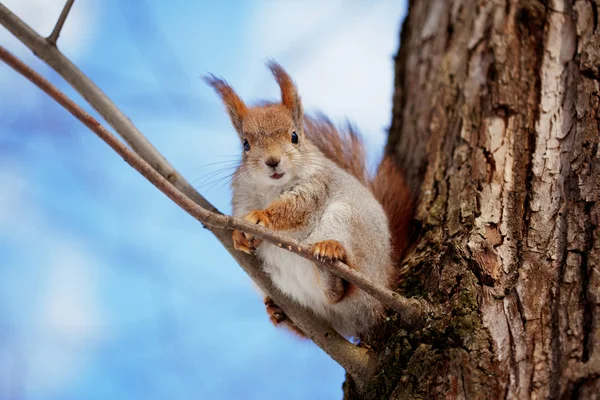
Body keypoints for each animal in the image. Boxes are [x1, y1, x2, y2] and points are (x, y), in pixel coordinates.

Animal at [205, 61, 412, 338]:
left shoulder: (316, 185)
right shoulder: (242, 197)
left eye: (294, 136)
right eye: (245, 144)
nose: (272, 161)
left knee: (341, 290)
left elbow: (296, 208)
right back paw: (278, 312)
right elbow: (241, 215)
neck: (273, 188)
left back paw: (330, 257)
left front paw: (262, 217)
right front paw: (240, 235)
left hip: (348, 222)